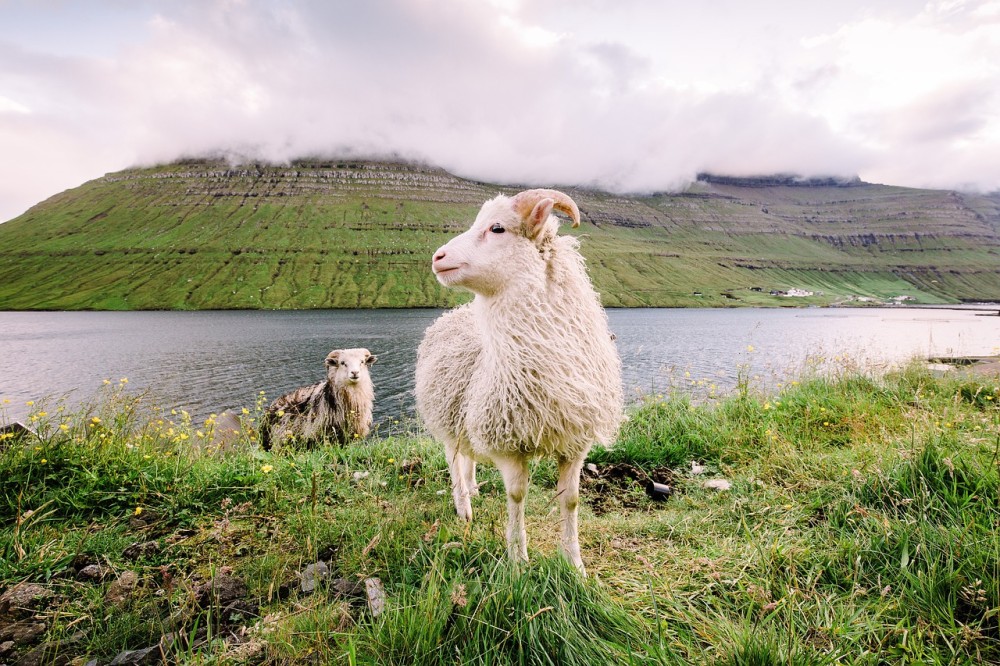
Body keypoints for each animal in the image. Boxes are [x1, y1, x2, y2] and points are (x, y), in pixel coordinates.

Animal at [412, 188, 616, 572]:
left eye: (497, 228)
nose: (437, 257)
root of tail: (451, 314)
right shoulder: (508, 442)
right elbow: (517, 496)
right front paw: (519, 561)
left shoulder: (575, 441)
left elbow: (571, 500)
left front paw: (575, 564)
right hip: (447, 421)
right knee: (454, 463)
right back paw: (464, 507)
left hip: (466, 416)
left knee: (467, 460)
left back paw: (473, 489)